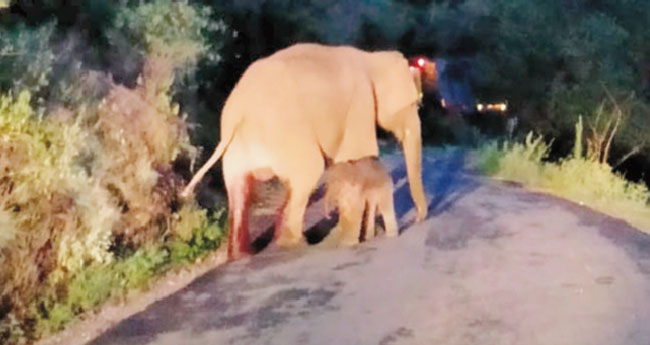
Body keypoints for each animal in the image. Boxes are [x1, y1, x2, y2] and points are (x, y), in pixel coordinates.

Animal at [180, 43, 428, 258]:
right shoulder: (360, 105)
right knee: (309, 170)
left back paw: (243, 254)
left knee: (239, 187)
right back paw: (295, 244)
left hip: (237, 145)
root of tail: (239, 110)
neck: (371, 59)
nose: (418, 219)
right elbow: (356, 156)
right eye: (413, 105)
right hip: (285, 132)